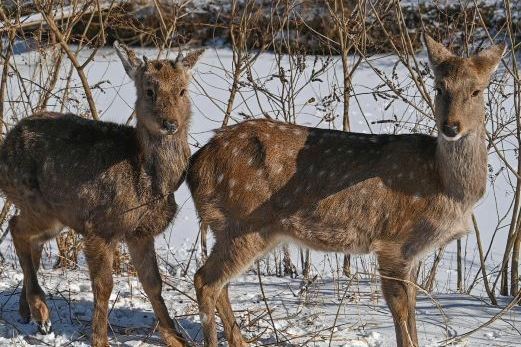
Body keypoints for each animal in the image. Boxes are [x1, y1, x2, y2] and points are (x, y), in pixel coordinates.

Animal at [0, 41, 203, 347]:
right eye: (149, 91)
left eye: (182, 90)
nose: (170, 124)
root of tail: (6, 142)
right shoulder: (100, 227)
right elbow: (104, 285)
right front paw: (99, 339)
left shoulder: (139, 233)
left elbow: (153, 283)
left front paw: (176, 338)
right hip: (37, 202)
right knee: (16, 228)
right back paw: (41, 312)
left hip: (53, 215)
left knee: (31, 239)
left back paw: (28, 313)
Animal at [186, 34, 504, 346]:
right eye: (439, 88)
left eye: (476, 91)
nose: (450, 127)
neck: (447, 187)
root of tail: (196, 163)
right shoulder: (392, 241)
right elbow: (401, 312)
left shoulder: (411, 252)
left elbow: (411, 311)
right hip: (242, 222)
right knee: (204, 280)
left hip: (240, 228)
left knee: (219, 284)